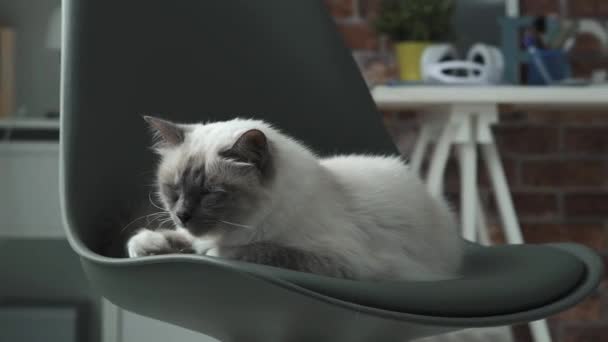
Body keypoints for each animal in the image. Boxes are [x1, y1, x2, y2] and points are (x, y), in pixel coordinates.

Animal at [126, 117, 464, 280]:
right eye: (174, 190)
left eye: (211, 194)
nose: (182, 215)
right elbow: (180, 239)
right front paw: (144, 244)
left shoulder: (342, 261)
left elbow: (263, 250)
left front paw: (215, 253)